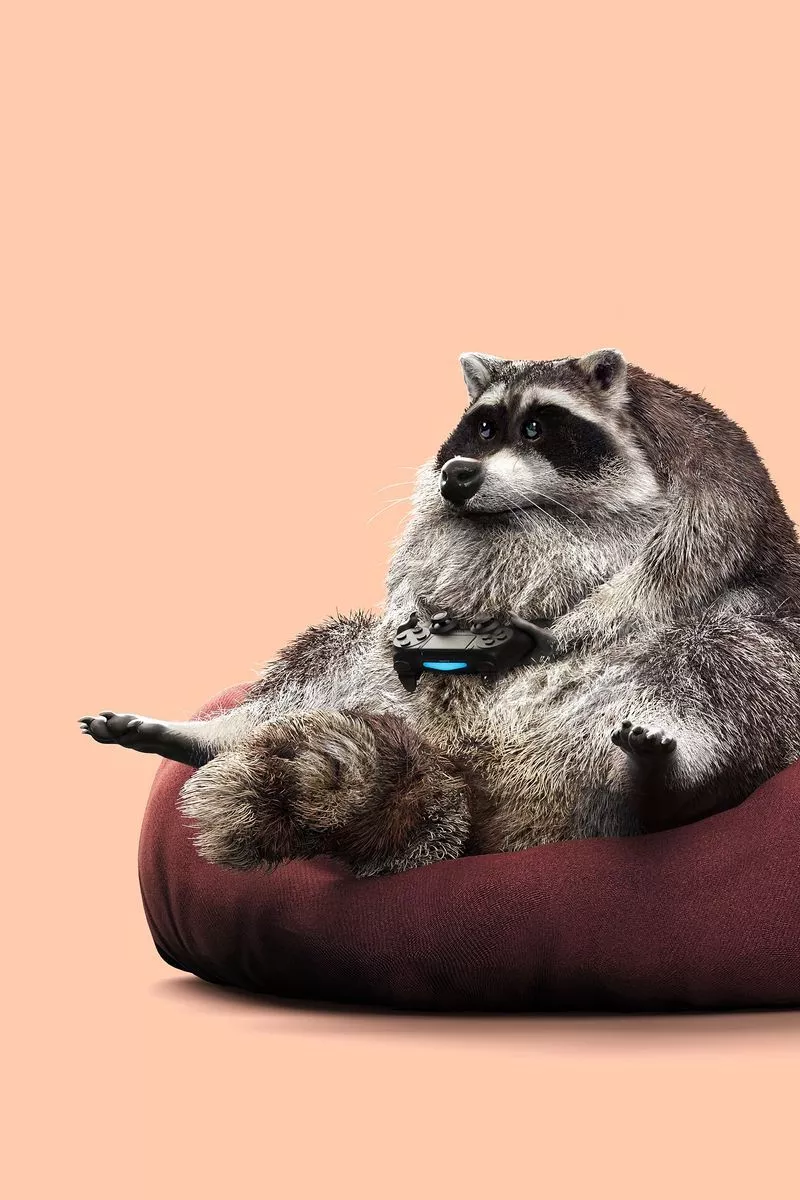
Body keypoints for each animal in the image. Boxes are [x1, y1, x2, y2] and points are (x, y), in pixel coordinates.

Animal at [81, 350, 800, 876]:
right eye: (481, 426)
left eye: (537, 427)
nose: (460, 475)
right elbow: (419, 555)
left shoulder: (714, 475)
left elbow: (676, 571)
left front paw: (561, 627)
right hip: (379, 695)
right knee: (331, 661)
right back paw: (213, 734)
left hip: (734, 680)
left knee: (728, 658)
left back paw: (665, 786)